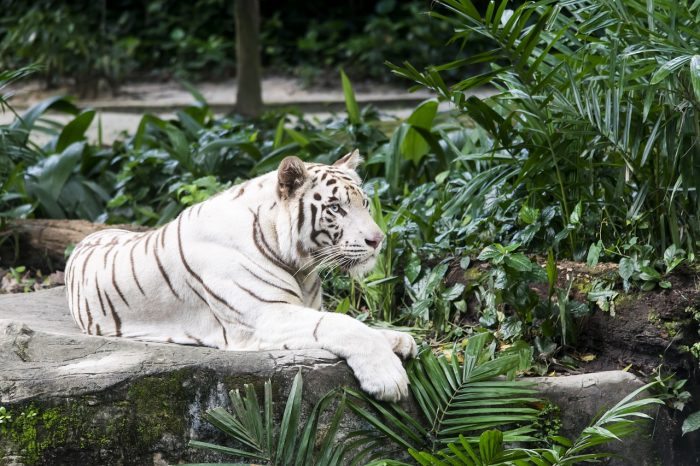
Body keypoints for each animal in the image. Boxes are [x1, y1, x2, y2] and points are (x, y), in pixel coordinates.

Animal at [64, 150, 417, 402]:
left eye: (366, 204)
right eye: (335, 208)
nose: (378, 239)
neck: (300, 266)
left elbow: (358, 324)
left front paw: (400, 339)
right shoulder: (265, 316)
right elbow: (342, 324)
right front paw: (388, 378)